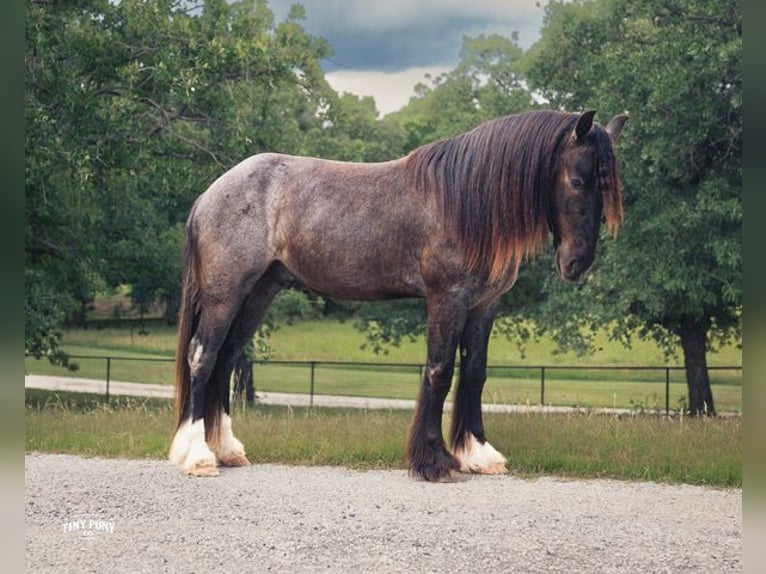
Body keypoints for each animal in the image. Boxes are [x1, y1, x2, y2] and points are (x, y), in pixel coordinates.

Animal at [169, 109, 628, 481]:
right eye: (577, 179)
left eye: (610, 187)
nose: (577, 263)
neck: (464, 202)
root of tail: (211, 193)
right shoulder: (447, 298)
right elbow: (440, 372)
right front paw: (435, 461)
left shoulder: (484, 304)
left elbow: (474, 373)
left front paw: (479, 454)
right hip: (225, 293)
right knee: (203, 356)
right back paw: (197, 456)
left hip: (259, 292)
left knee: (227, 358)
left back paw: (226, 450)